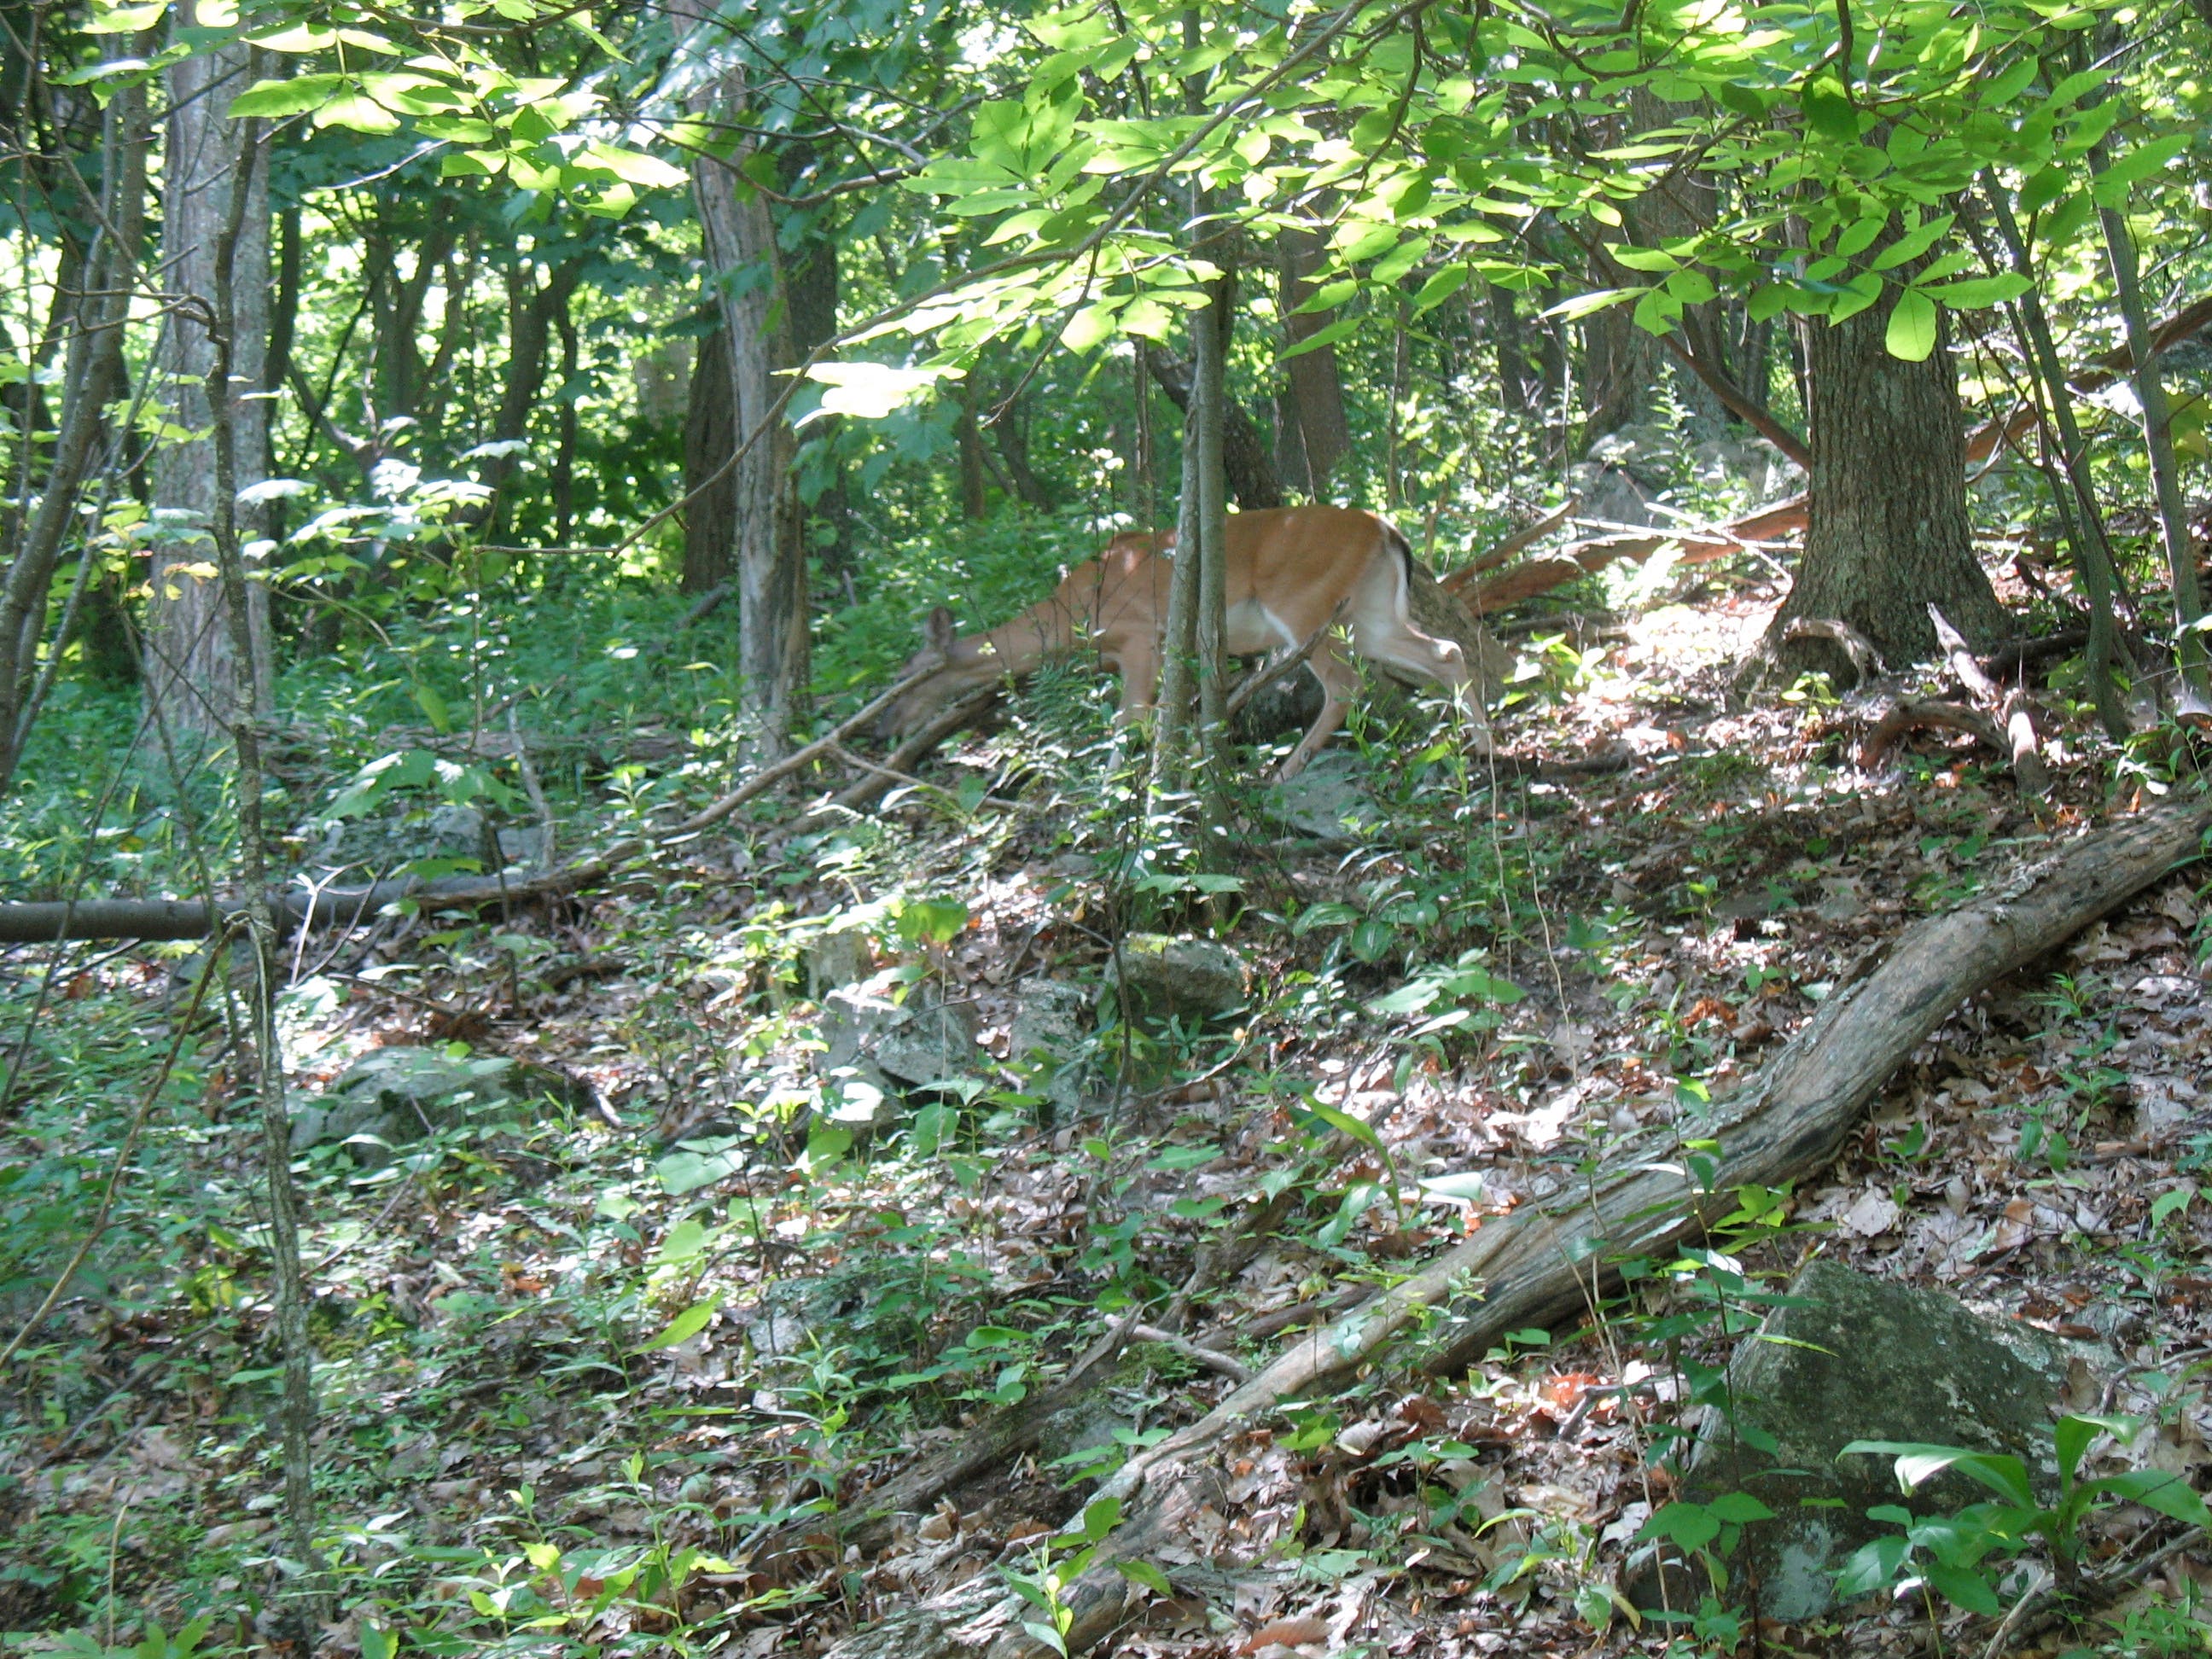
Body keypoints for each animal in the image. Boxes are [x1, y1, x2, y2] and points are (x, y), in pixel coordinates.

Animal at [877, 505, 1489, 781]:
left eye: (904, 677)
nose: (886, 727)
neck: (1073, 613)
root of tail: (1387, 530)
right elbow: (1169, 717)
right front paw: (1185, 766)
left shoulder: (1141, 637)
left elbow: (1129, 720)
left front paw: (1117, 792)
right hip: (1367, 611)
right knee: (1445, 652)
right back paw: (1480, 747)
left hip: (1304, 602)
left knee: (1346, 685)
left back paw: (1285, 770)